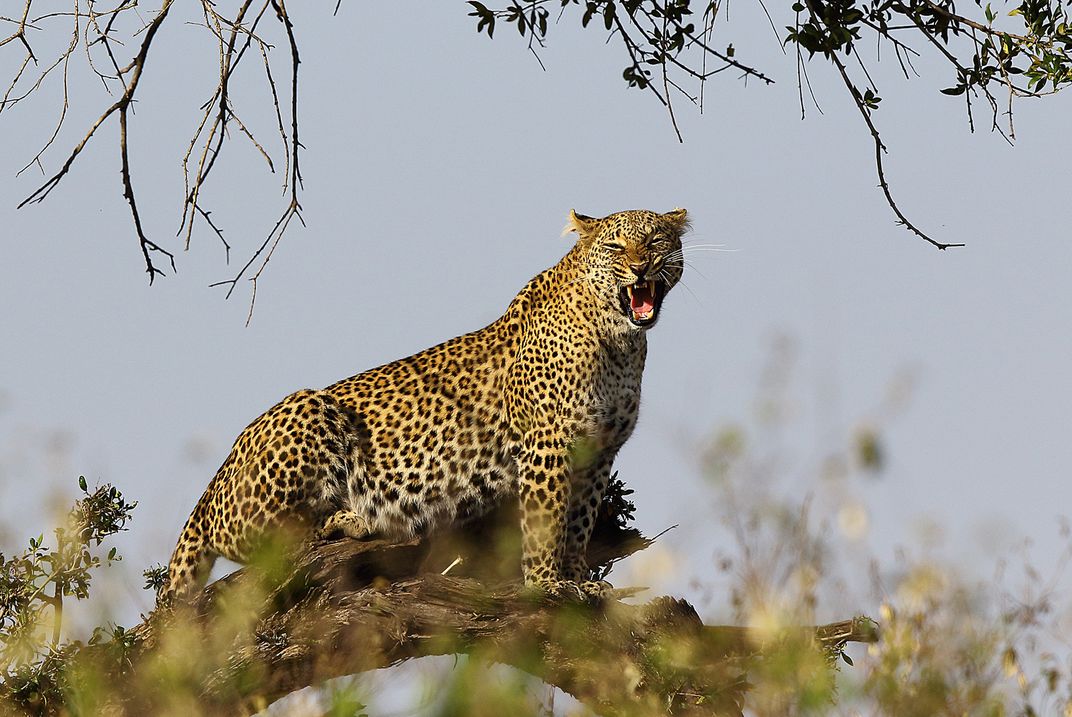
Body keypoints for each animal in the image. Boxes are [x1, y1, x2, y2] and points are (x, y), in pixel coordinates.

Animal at [161, 207, 690, 605]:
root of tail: (213, 484)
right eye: (615, 248)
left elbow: (579, 522)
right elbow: (547, 522)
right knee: (263, 539)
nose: (640, 269)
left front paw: (581, 580)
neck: (621, 343)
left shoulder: (598, 452)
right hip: (308, 409)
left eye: (655, 242)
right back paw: (348, 518)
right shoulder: (548, 444)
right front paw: (547, 585)